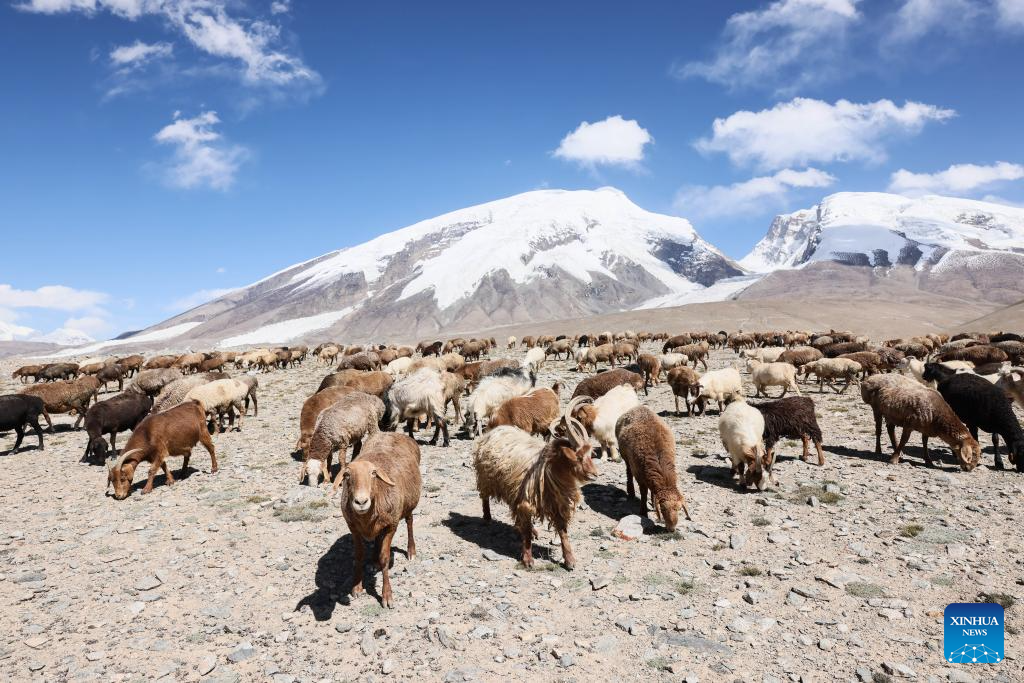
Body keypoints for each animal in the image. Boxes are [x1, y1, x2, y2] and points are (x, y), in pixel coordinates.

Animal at [336, 432, 421, 608]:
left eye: (373, 474)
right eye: (347, 475)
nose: (361, 502)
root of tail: (394, 433)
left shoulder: (391, 526)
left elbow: (385, 558)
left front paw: (386, 595)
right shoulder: (353, 528)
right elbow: (359, 555)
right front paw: (357, 587)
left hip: (408, 505)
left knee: (409, 522)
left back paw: (411, 551)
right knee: (377, 538)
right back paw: (374, 560)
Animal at [473, 408, 596, 569]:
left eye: (590, 455)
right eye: (579, 457)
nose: (595, 474)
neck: (548, 468)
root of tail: (495, 429)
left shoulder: (557, 503)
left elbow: (562, 531)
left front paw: (570, 561)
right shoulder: (526, 502)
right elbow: (525, 534)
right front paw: (528, 560)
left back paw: (532, 530)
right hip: (485, 478)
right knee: (485, 497)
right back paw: (487, 517)